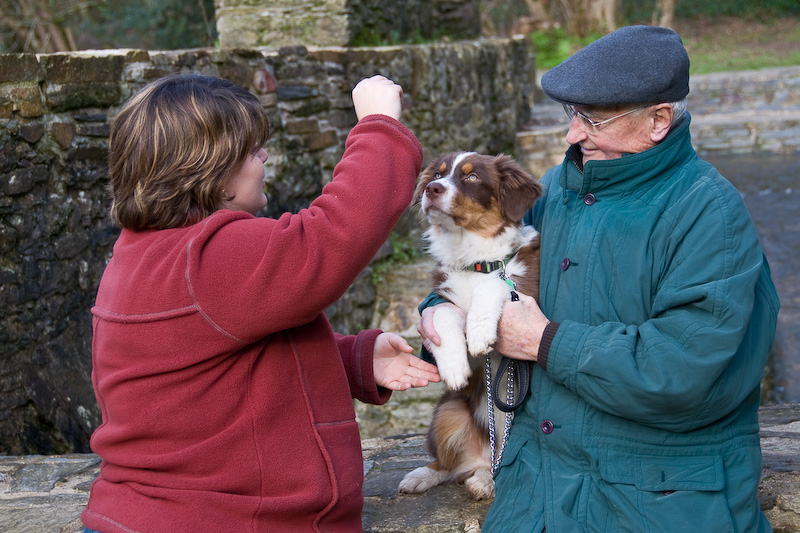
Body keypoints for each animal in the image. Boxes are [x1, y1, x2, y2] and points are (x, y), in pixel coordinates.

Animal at [400, 151, 544, 498]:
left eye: (472, 177)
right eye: (437, 175)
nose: (432, 189)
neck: (476, 261)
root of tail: (482, 458)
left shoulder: (527, 294)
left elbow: (492, 286)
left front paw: (479, 332)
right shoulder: (445, 300)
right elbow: (443, 314)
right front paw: (453, 366)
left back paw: (485, 482)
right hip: (447, 410)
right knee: (449, 464)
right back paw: (423, 476)